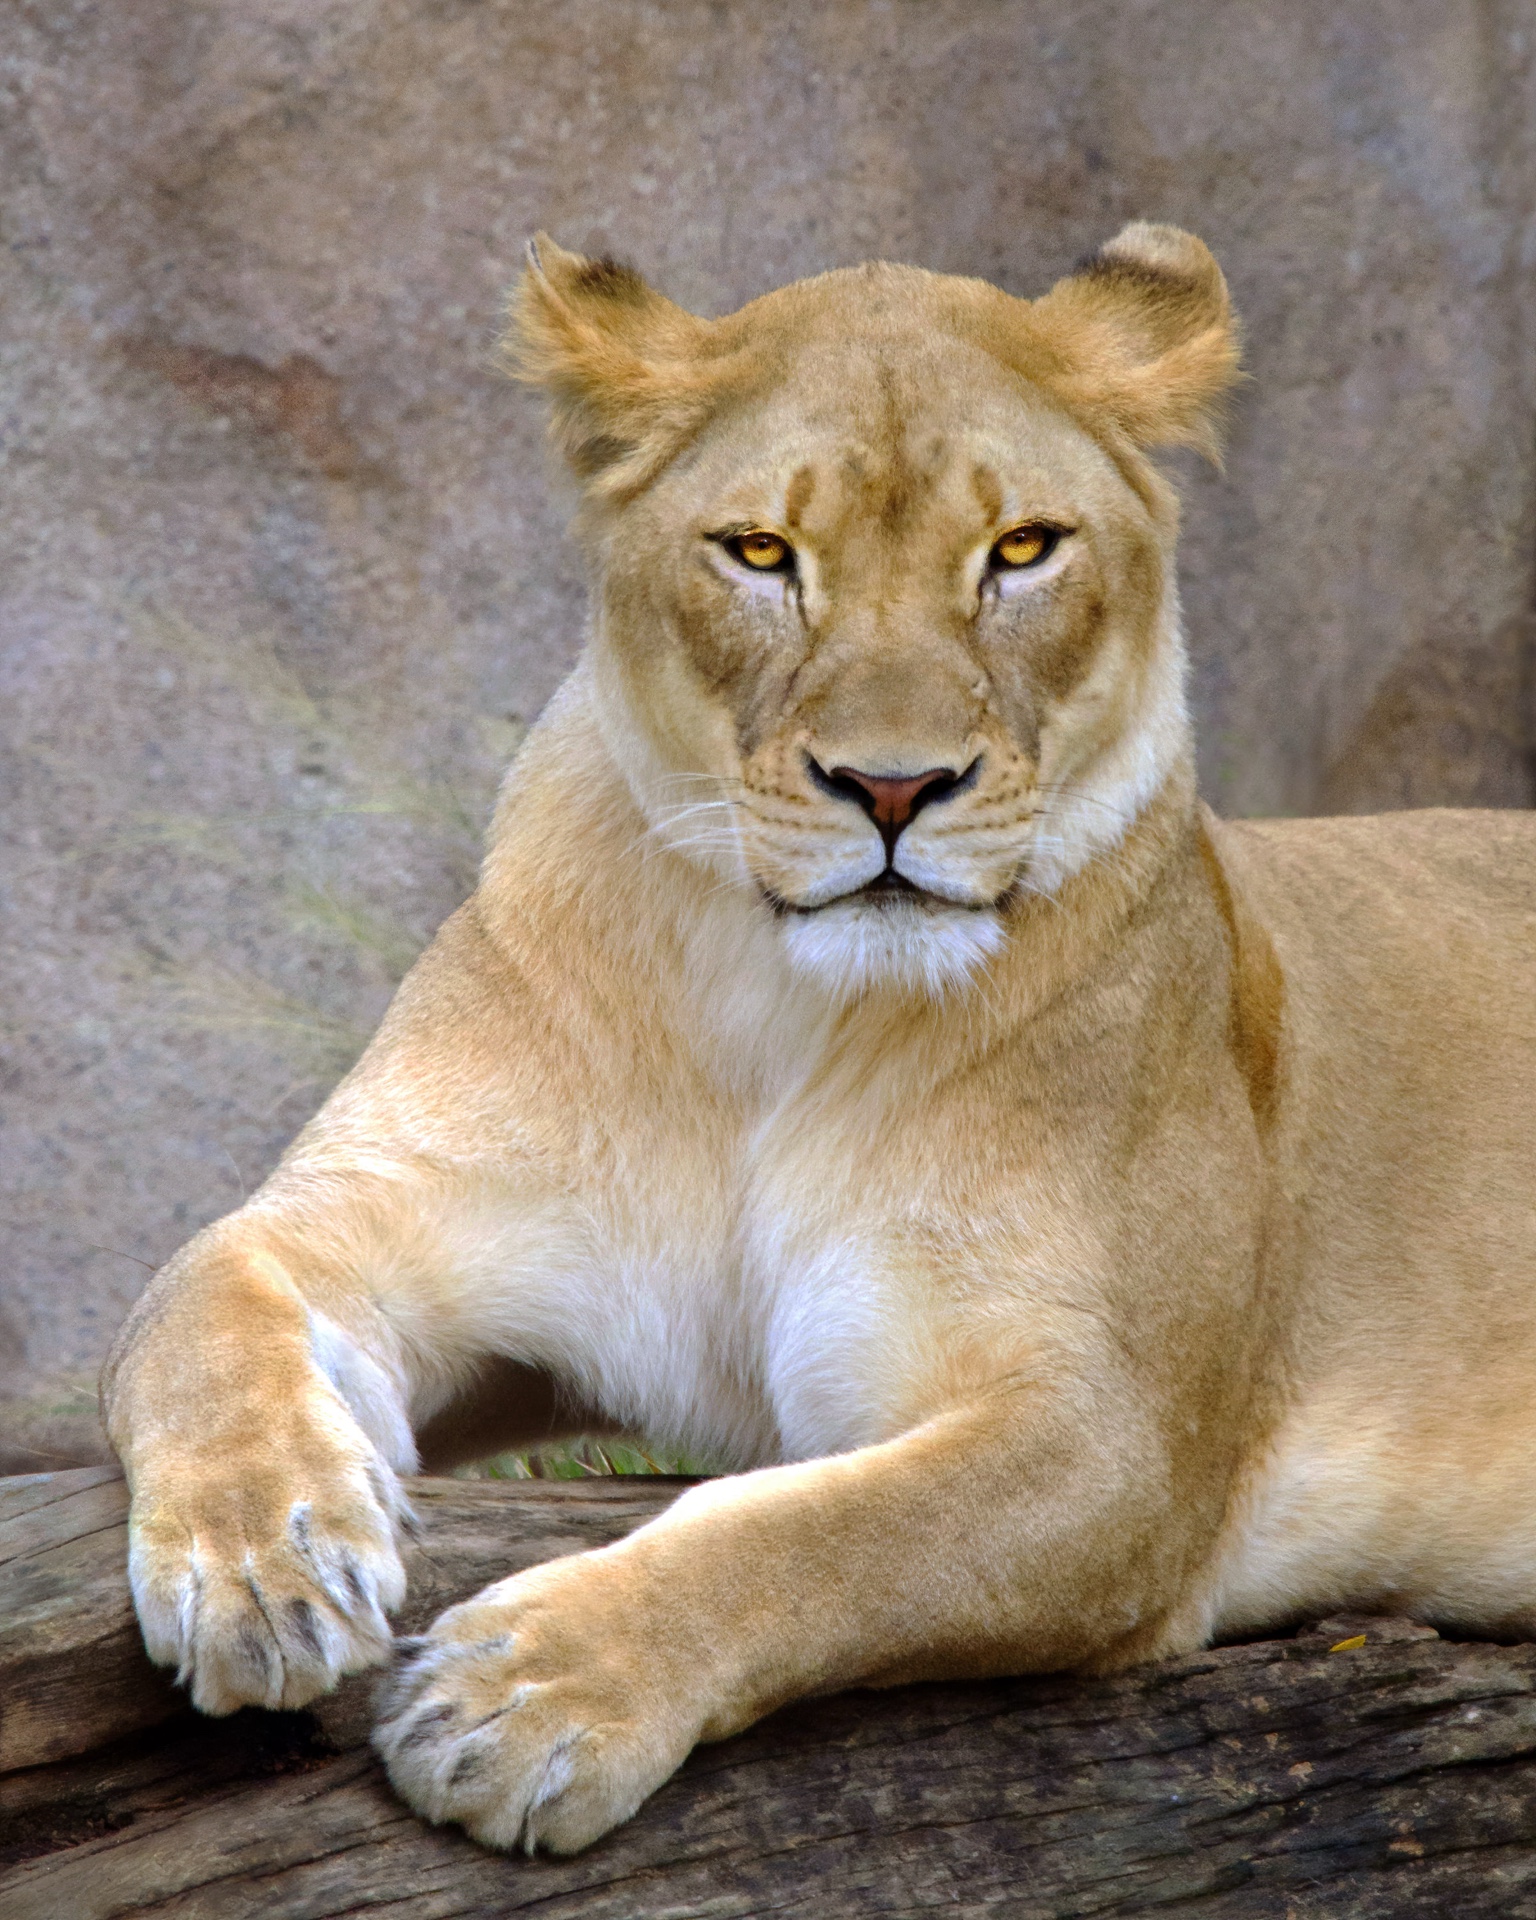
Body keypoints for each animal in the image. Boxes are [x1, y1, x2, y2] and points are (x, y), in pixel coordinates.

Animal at [102, 223, 1536, 1855]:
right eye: (762, 554)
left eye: (1023, 551)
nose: (895, 787)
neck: (774, 1013)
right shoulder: (392, 1220)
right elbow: (194, 1297)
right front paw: (260, 1567)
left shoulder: (1118, 1443)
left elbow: (823, 1537)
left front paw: (526, 1694)